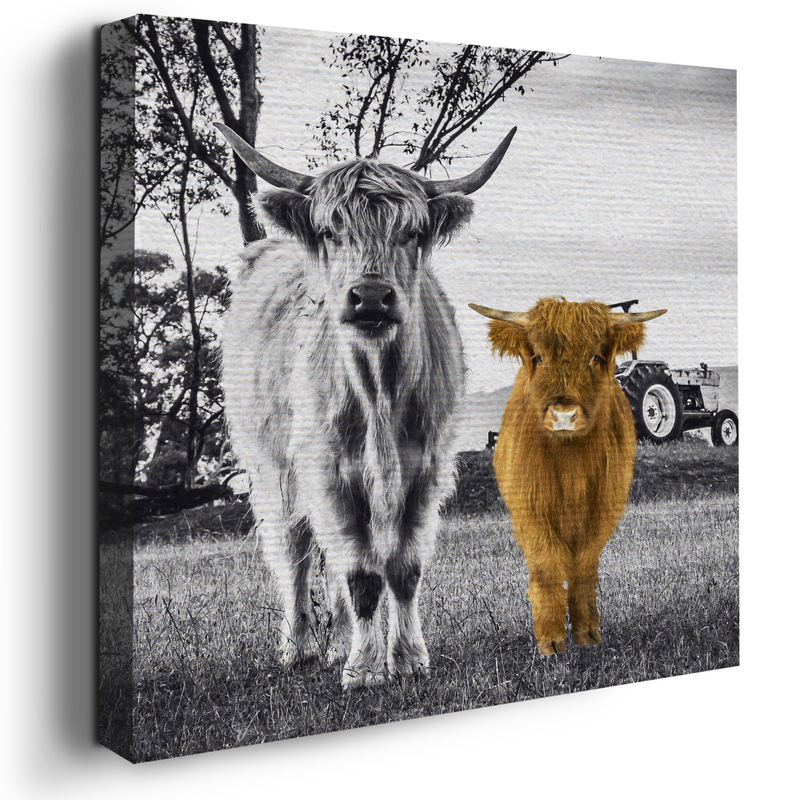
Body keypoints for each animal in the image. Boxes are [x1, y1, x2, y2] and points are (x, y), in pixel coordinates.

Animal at [216, 123, 516, 686]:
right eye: (331, 231)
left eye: (413, 232)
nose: (372, 297)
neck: (379, 392)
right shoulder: (327, 468)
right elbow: (360, 573)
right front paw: (364, 669)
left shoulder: (426, 468)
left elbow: (402, 567)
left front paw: (408, 658)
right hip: (274, 466)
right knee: (295, 549)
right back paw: (300, 647)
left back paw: (336, 643)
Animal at [469, 297, 666, 655]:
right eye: (539, 357)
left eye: (595, 357)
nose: (564, 416)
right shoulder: (529, 506)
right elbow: (546, 565)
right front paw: (549, 640)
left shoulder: (604, 506)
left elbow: (584, 567)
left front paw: (587, 633)